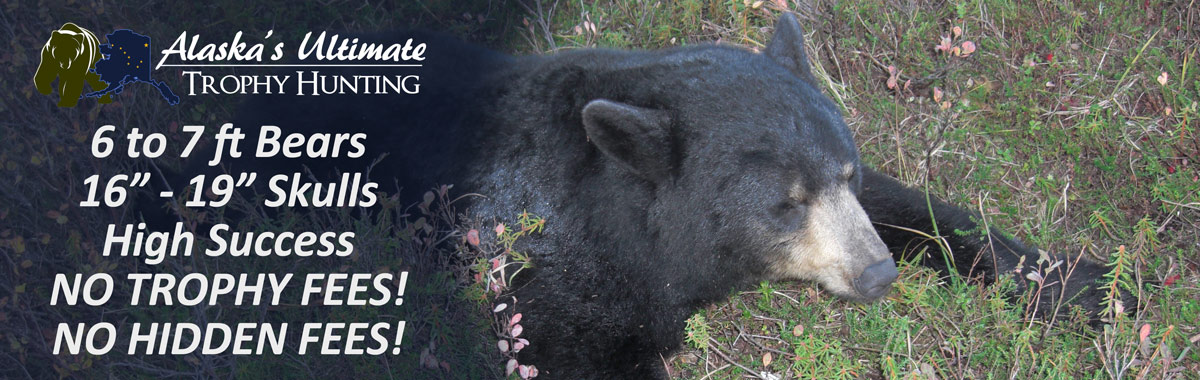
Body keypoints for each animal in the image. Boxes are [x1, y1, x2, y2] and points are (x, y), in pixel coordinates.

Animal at [166, 13, 1113, 376]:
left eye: (837, 176)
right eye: (785, 201)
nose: (876, 276)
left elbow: (912, 205)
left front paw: (1078, 283)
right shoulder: (546, 265)